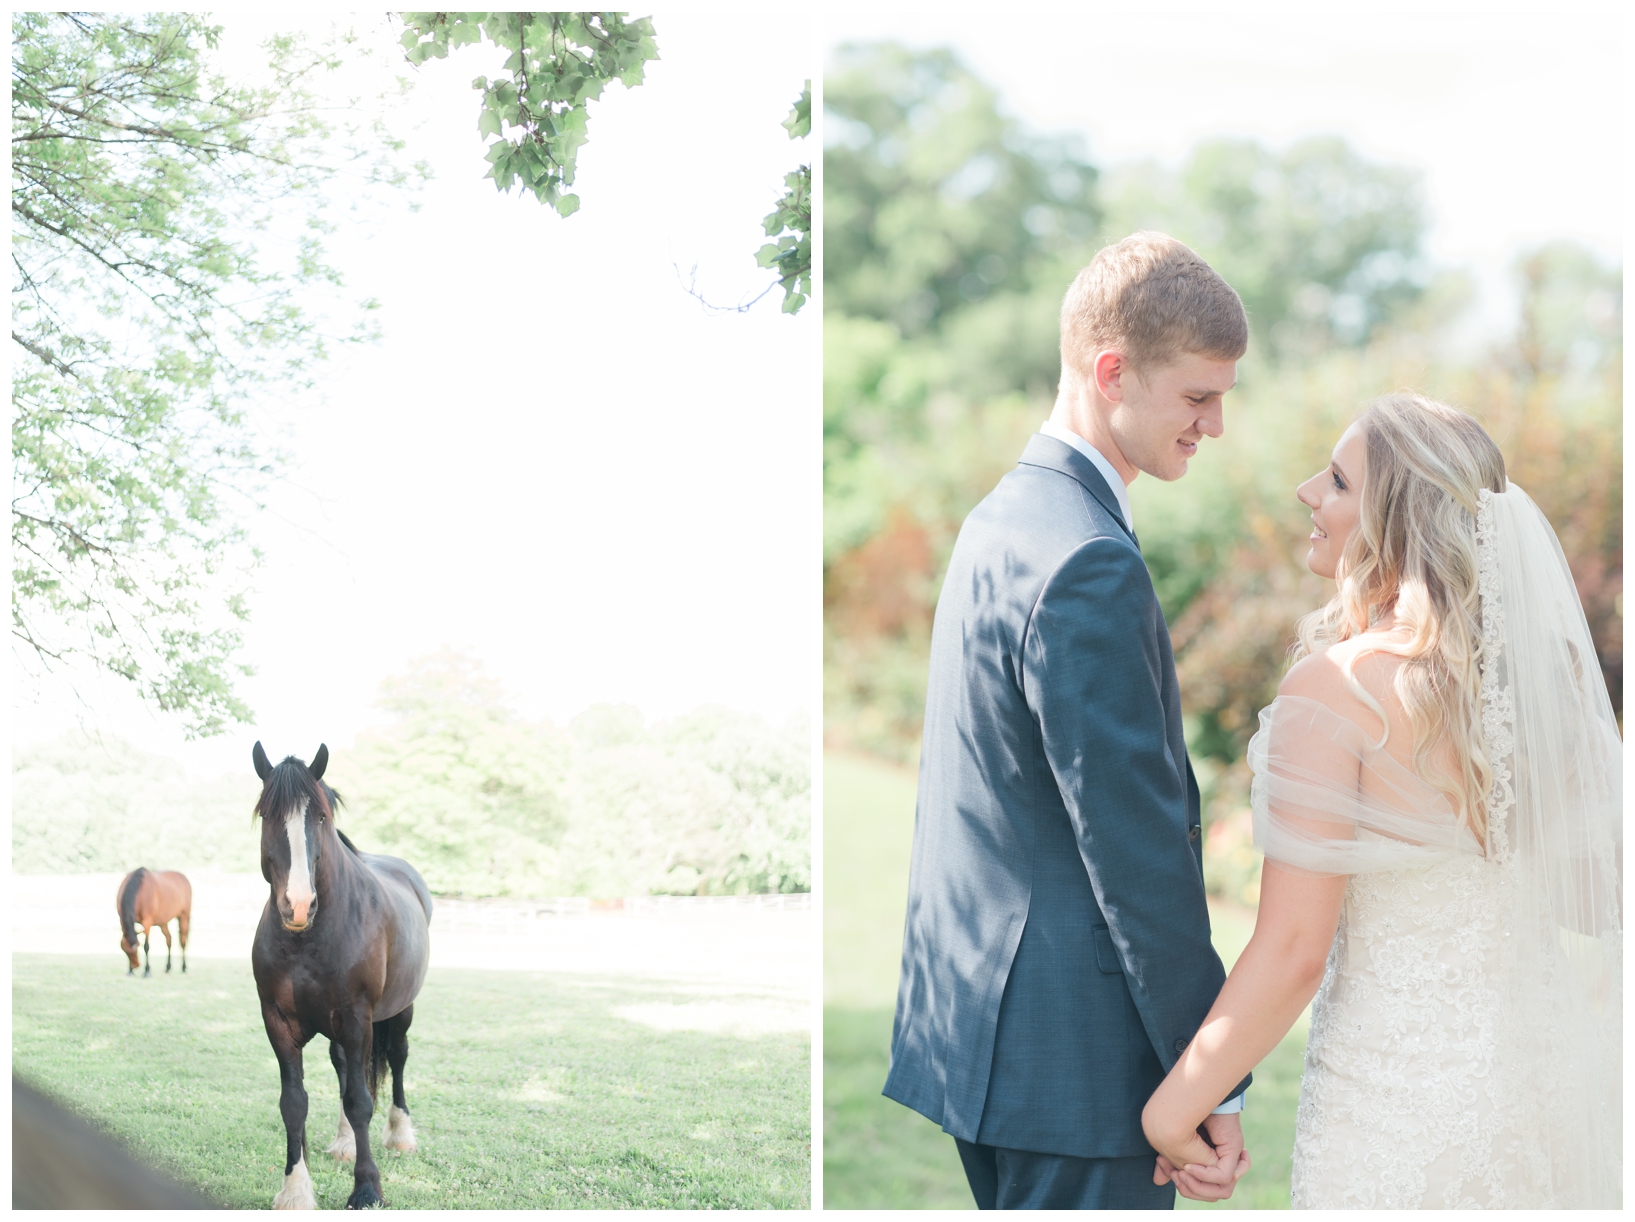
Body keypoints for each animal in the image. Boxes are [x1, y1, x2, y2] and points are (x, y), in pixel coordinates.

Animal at [245, 739, 431, 1210]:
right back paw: (346, 1143)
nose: (297, 904)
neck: (307, 941)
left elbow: (361, 1101)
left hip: (398, 1010)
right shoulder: (277, 1020)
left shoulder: (356, 1015)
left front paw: (366, 1188)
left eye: (321, 817)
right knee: (346, 1066)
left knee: (397, 1058)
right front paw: (295, 1191)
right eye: (267, 816)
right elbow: (294, 1103)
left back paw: (400, 1134)